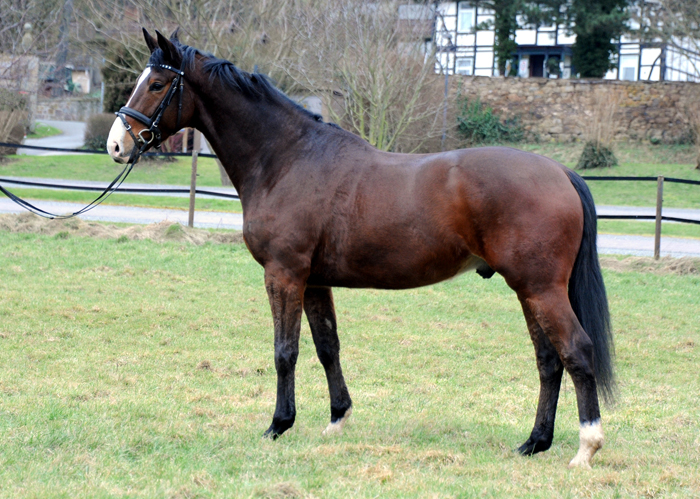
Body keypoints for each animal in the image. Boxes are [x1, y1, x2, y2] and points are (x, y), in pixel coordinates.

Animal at [105, 30, 612, 468]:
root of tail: (559, 172)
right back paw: (534, 442)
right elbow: (327, 346)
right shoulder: (314, 282)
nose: (116, 144)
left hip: (541, 289)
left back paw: (585, 447)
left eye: (156, 83)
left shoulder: (283, 274)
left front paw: (278, 425)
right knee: (549, 361)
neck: (286, 159)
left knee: (576, 352)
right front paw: (337, 419)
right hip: (529, 290)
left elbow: (284, 350)